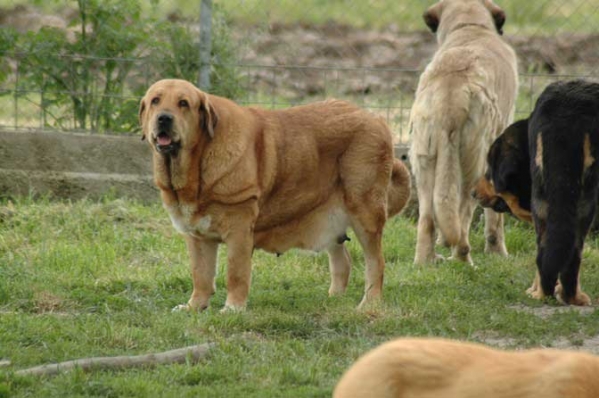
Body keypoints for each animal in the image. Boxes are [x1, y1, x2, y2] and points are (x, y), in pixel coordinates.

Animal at [141, 79, 412, 312]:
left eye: (183, 103)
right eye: (156, 101)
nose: (164, 118)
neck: (197, 164)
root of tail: (375, 118)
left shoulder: (239, 231)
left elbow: (235, 273)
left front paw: (233, 309)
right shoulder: (197, 236)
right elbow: (201, 275)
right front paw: (194, 307)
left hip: (365, 213)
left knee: (376, 262)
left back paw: (369, 304)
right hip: (331, 220)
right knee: (342, 259)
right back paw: (334, 298)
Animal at [408, 0, 520, 264]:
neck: (471, 26)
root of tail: (451, 95)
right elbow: (495, 218)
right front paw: (498, 253)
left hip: (423, 161)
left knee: (428, 218)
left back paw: (426, 260)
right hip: (473, 166)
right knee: (462, 220)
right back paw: (463, 260)